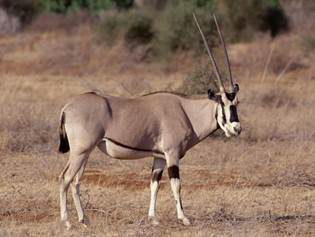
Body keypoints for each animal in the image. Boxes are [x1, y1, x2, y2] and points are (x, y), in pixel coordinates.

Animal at [58, 13, 241, 229]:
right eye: (222, 102)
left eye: (236, 102)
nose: (236, 128)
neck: (187, 111)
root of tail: (67, 107)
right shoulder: (172, 154)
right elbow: (176, 185)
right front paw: (184, 218)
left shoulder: (159, 157)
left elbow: (154, 184)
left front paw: (153, 218)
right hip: (80, 151)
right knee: (65, 178)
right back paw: (67, 221)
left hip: (85, 152)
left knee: (76, 181)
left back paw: (84, 219)